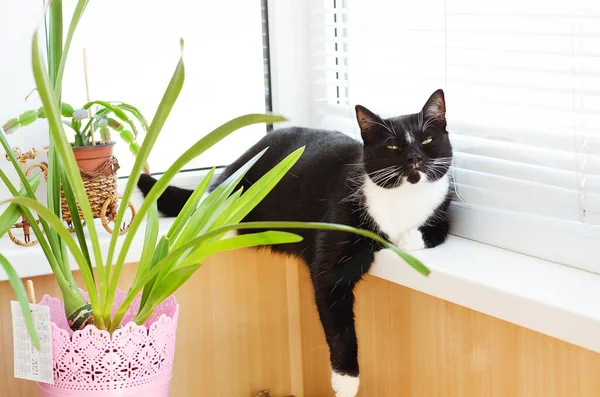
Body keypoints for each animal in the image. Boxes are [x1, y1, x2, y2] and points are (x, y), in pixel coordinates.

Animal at [138, 89, 452, 396]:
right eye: (393, 147)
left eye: (426, 140)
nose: (414, 158)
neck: (404, 199)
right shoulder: (333, 251)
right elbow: (338, 322)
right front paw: (346, 381)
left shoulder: (442, 211)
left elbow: (436, 230)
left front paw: (409, 238)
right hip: (233, 190)